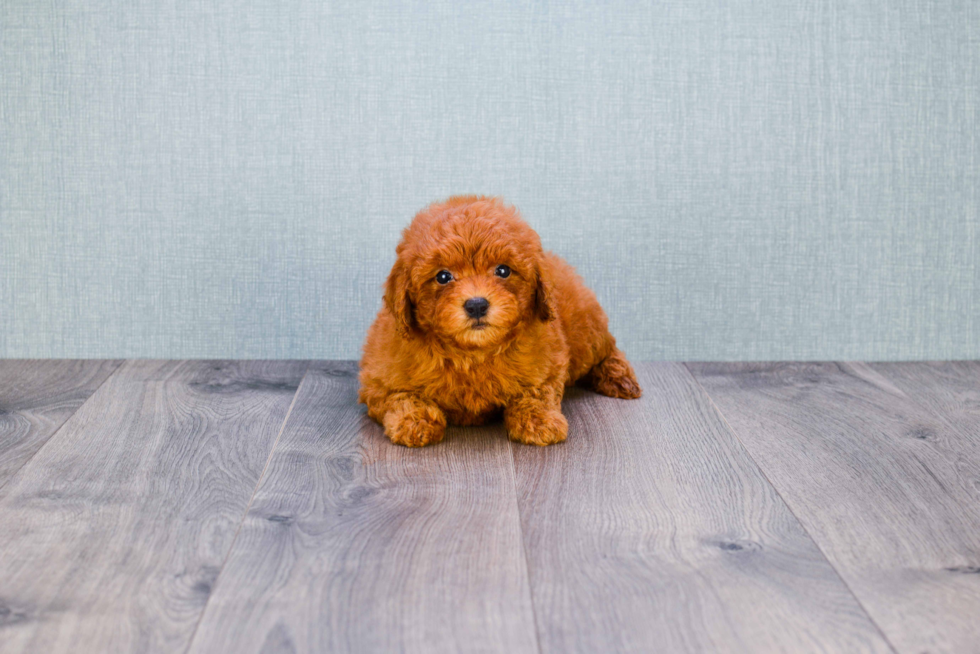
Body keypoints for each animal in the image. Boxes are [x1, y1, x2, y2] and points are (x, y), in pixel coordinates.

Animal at [360, 197, 644, 448]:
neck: (472, 353)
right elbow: (401, 396)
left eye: (503, 270)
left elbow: (537, 391)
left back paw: (620, 378)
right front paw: (414, 421)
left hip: (585, 334)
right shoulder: (378, 380)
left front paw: (539, 420)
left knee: (608, 348)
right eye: (442, 276)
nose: (476, 304)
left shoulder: (548, 362)